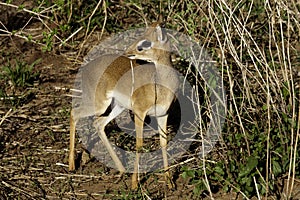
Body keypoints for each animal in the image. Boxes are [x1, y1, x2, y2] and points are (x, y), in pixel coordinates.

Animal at [69, 21, 178, 189]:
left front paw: (169, 181)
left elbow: (163, 142)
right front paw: (134, 184)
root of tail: (86, 67)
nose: (128, 52)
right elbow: (139, 144)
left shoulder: (162, 114)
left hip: (117, 107)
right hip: (99, 104)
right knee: (75, 113)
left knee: (98, 124)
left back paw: (121, 170)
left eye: (145, 43)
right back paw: (71, 166)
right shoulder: (140, 112)